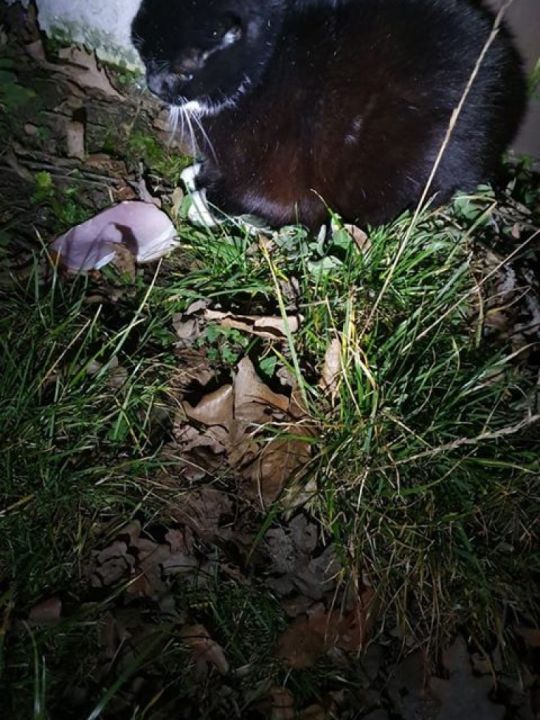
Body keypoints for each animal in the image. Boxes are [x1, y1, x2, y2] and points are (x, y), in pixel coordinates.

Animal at [132, 0, 527, 230]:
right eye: (144, 55)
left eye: (181, 71)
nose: (152, 85)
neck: (264, 70)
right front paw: (198, 176)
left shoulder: (280, 169)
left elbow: (263, 199)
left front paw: (206, 202)